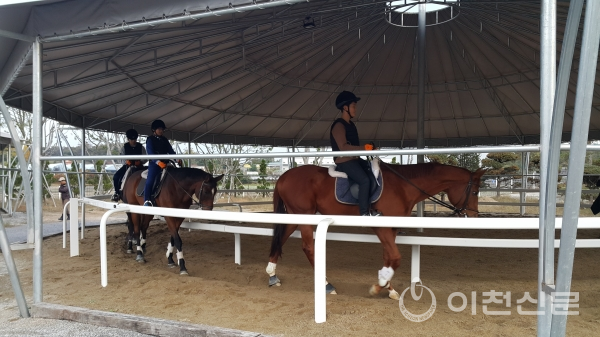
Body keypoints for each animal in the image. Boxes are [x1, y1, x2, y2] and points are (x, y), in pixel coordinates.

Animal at [264, 161, 486, 298]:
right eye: (475, 191)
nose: (474, 216)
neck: (403, 186)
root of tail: (283, 176)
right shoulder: (382, 227)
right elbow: (395, 257)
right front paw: (378, 287)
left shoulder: (391, 229)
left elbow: (388, 257)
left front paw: (388, 287)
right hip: (305, 215)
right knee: (309, 247)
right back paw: (327, 285)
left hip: (296, 216)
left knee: (281, 238)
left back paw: (272, 275)